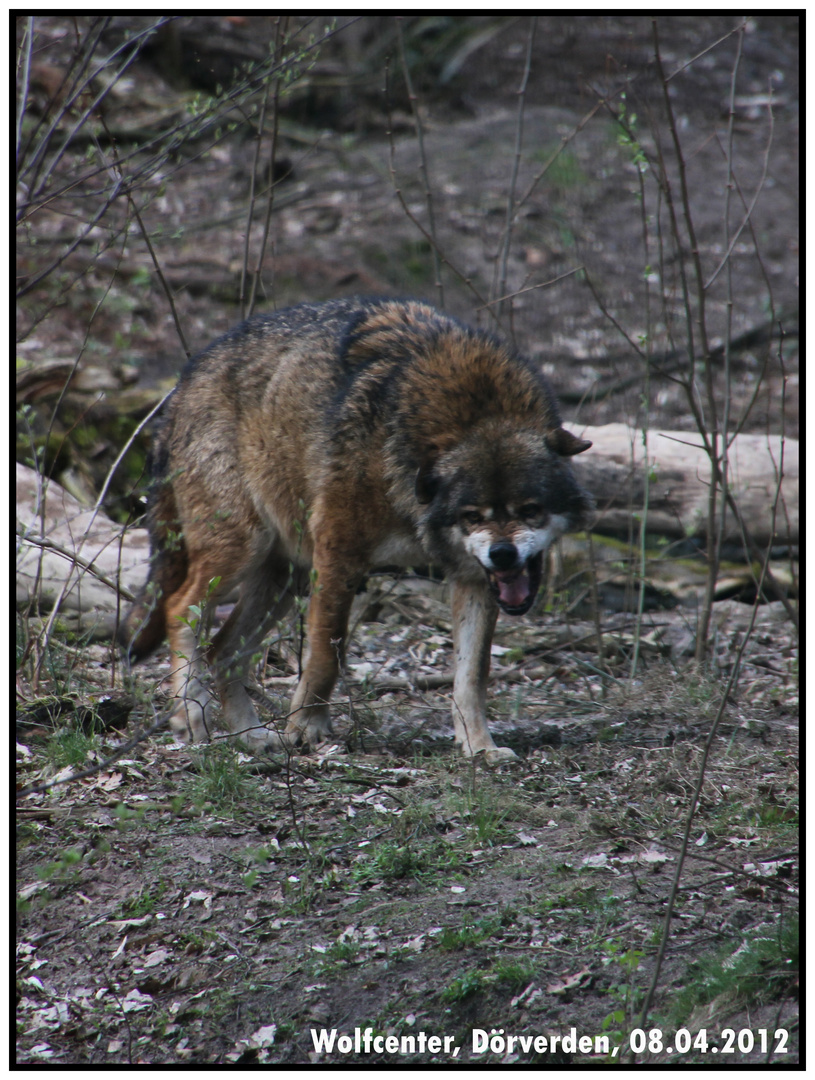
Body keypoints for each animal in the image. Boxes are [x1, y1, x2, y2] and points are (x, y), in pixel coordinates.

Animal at [119, 300, 591, 764]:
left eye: (530, 510)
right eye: (472, 516)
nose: (503, 555)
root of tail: (183, 382)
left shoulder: (473, 579)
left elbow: (472, 675)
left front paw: (479, 747)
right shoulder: (338, 555)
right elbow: (327, 654)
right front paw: (307, 728)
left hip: (283, 578)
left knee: (223, 650)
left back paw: (251, 736)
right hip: (242, 551)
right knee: (179, 608)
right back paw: (191, 716)